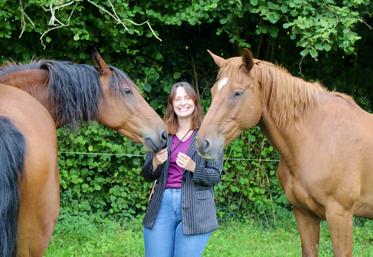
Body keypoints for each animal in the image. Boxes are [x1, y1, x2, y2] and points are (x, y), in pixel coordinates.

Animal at [196, 48, 372, 256]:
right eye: (213, 91)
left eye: (237, 93)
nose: (202, 143)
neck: (317, 139)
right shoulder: (304, 214)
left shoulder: (340, 215)